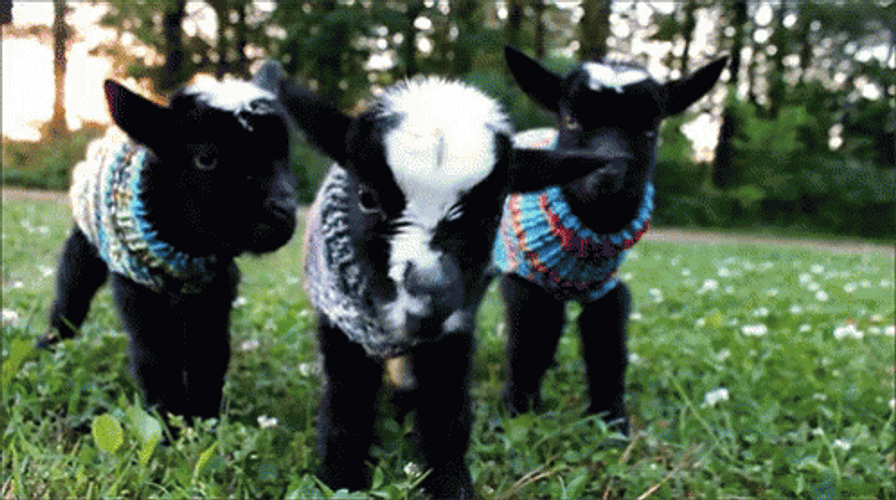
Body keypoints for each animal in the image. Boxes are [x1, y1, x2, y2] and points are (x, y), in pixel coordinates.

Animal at [39, 66, 298, 421]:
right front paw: (169, 421)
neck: (188, 249)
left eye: (284, 154)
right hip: (84, 245)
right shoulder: (140, 292)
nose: (284, 210)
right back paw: (47, 347)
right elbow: (156, 357)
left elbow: (210, 353)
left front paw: (204, 419)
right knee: (70, 298)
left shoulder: (215, 289)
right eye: (206, 158)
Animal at [280, 75, 625, 499]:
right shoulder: (341, 321)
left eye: (491, 211)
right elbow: (348, 402)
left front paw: (449, 483)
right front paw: (339, 481)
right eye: (366, 198)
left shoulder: (455, 326)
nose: (431, 294)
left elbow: (445, 408)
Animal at [496, 46, 727, 432]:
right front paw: (516, 413)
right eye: (571, 120)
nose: (607, 172)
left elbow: (607, 345)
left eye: (651, 128)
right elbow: (529, 343)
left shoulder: (606, 288)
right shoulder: (527, 281)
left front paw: (611, 420)